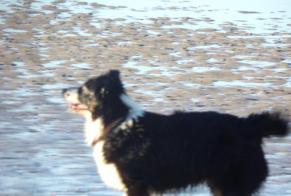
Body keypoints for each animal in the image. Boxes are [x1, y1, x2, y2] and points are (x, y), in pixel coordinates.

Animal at [62, 70, 290, 196]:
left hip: (232, 184)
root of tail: (249, 125)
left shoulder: (136, 184)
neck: (115, 122)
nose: (63, 90)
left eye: (83, 89)